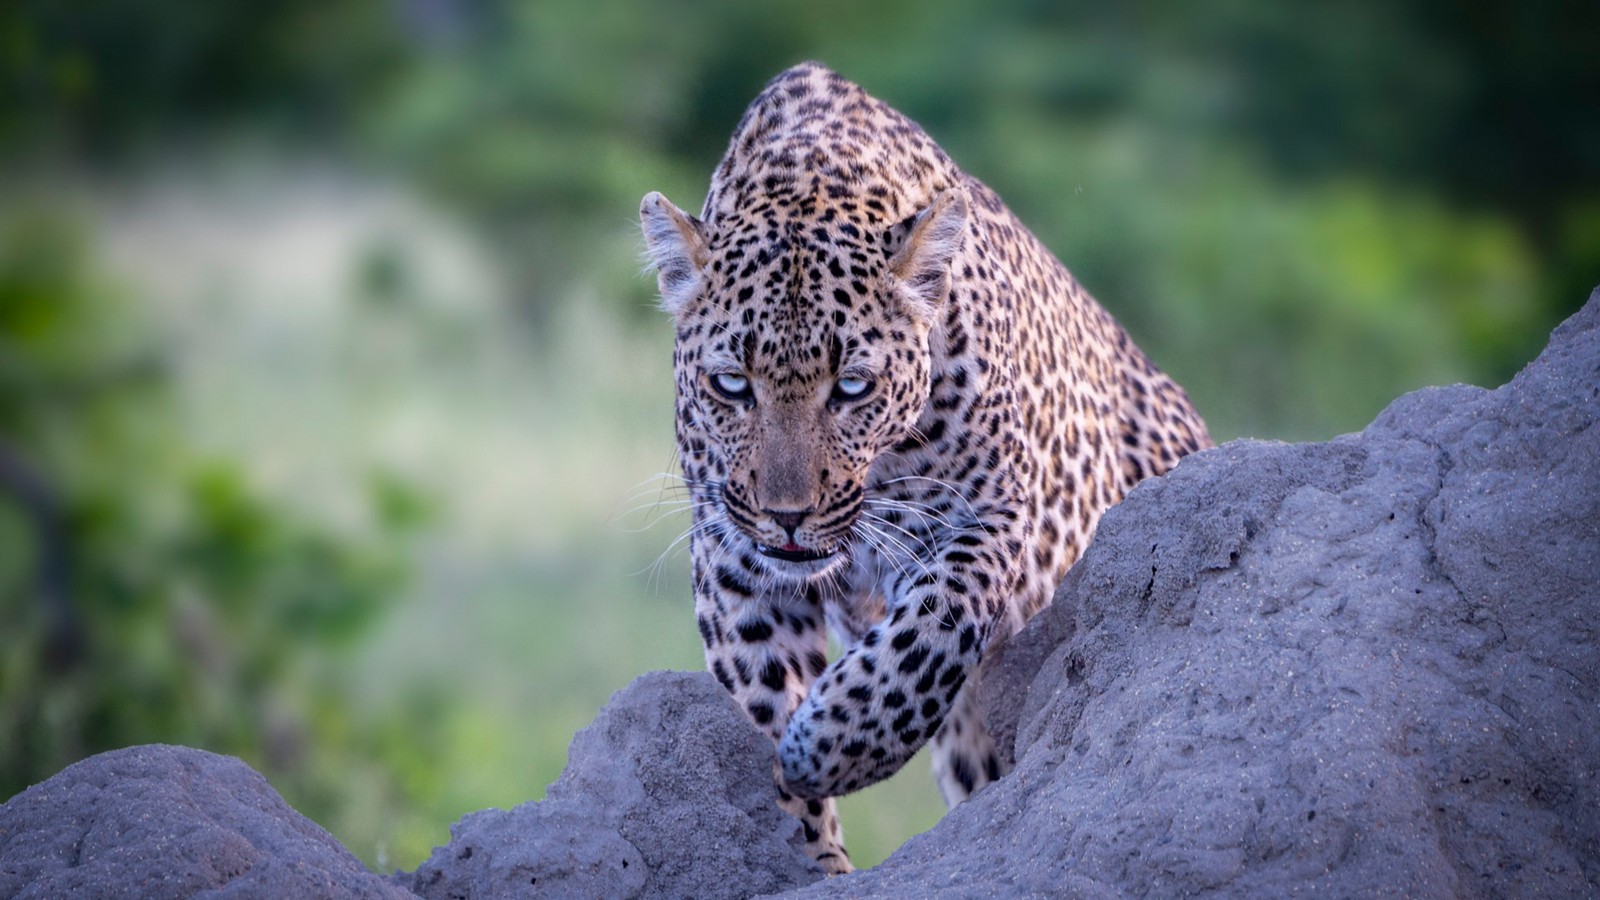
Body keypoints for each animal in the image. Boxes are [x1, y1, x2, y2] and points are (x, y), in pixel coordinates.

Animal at [636, 61, 1209, 871]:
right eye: (731, 385)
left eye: (852, 387)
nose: (787, 517)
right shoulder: (732, 555)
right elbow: (763, 711)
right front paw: (806, 851)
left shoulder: (987, 517)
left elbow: (934, 629)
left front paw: (832, 746)